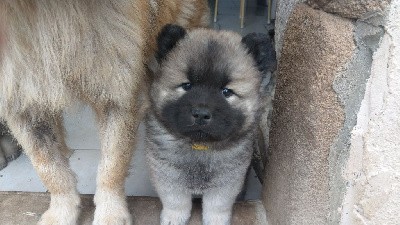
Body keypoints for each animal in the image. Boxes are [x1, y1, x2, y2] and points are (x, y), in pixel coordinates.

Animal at [0, 0, 211, 224]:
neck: (49, 11)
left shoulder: (119, 93)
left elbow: (113, 165)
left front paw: (110, 213)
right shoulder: (21, 98)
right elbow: (48, 167)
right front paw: (61, 211)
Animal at [145, 25, 276, 225]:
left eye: (226, 92)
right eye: (187, 86)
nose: (201, 113)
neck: (200, 146)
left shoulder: (228, 180)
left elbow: (217, 205)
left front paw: (215, 220)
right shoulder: (166, 173)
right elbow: (175, 200)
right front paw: (174, 217)